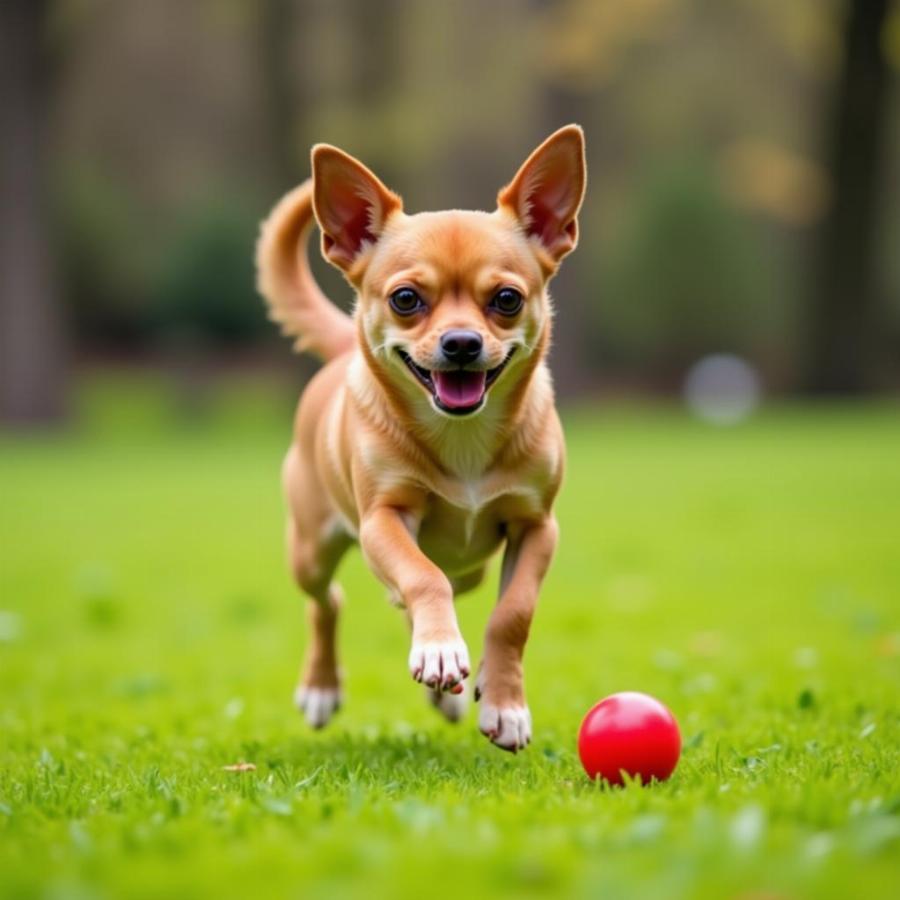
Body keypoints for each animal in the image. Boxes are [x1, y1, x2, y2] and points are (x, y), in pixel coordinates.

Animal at [256, 123, 588, 748]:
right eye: (406, 299)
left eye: (507, 300)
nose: (461, 343)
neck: (463, 437)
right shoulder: (384, 520)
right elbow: (422, 577)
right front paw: (441, 654)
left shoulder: (536, 526)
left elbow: (513, 614)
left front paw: (503, 704)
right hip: (312, 549)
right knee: (328, 601)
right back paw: (326, 686)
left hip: (471, 569)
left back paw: (446, 681)